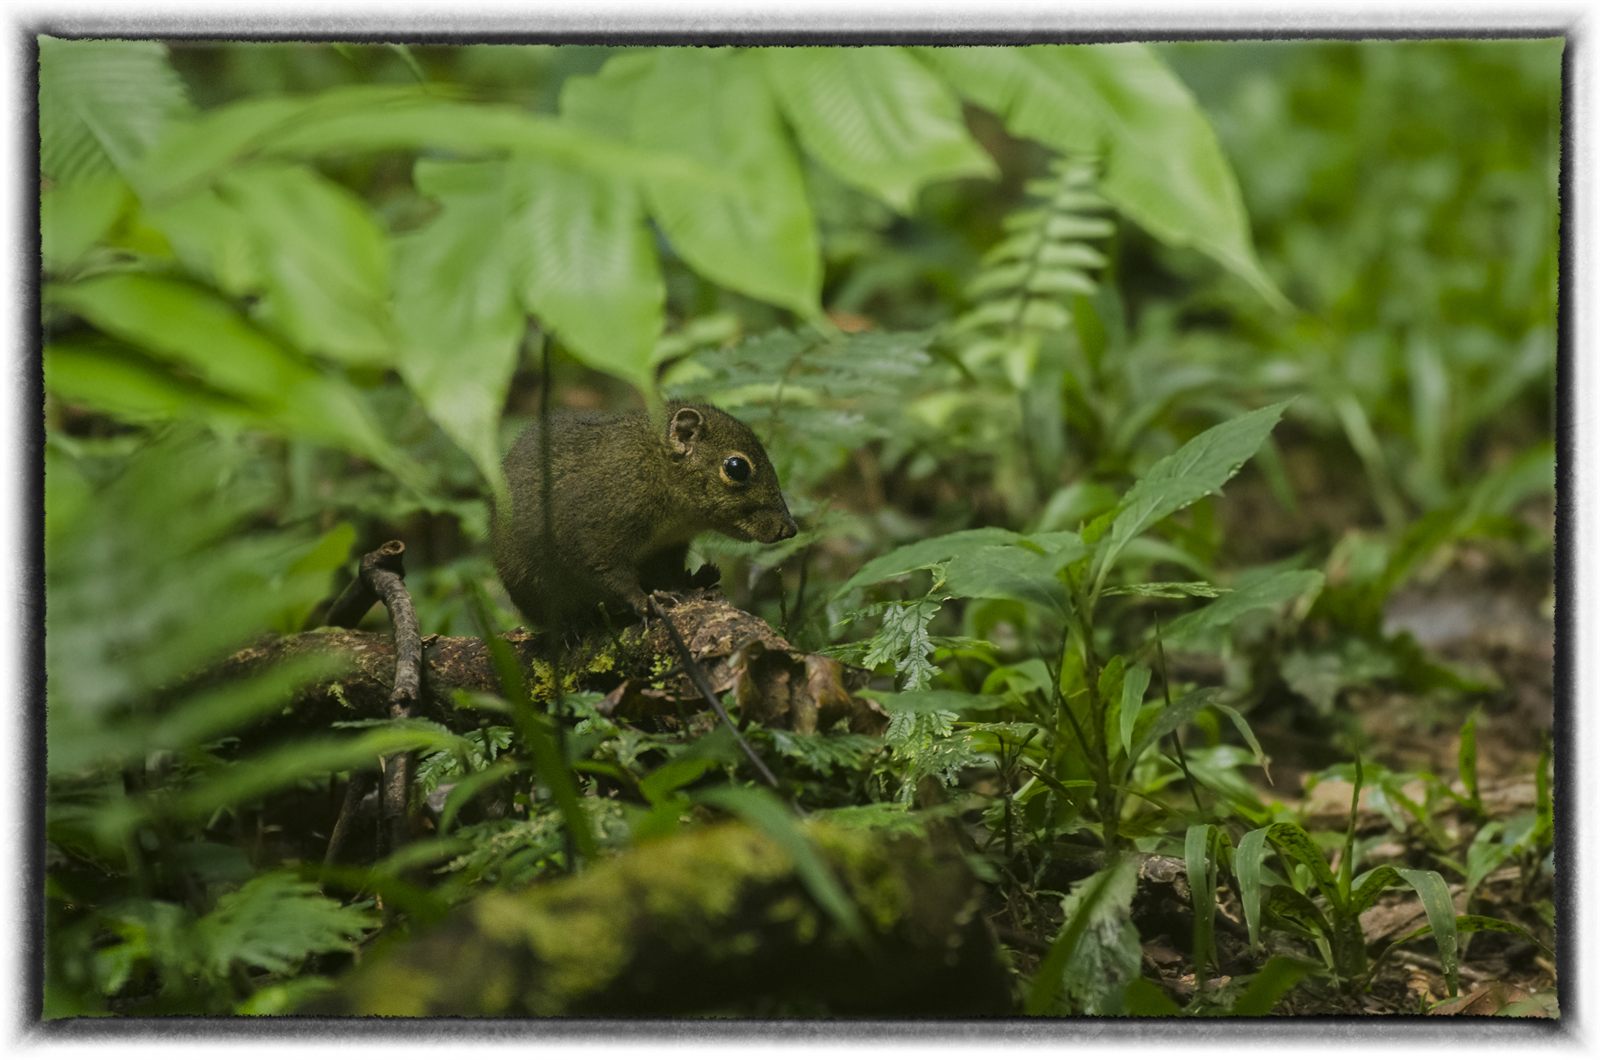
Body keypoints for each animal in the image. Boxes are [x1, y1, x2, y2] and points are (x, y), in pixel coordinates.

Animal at [491, 401, 798, 631]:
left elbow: (668, 573)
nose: (790, 528)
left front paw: (687, 584)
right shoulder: (594, 532)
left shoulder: (668, 547)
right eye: (736, 467)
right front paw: (645, 602)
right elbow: (609, 573)